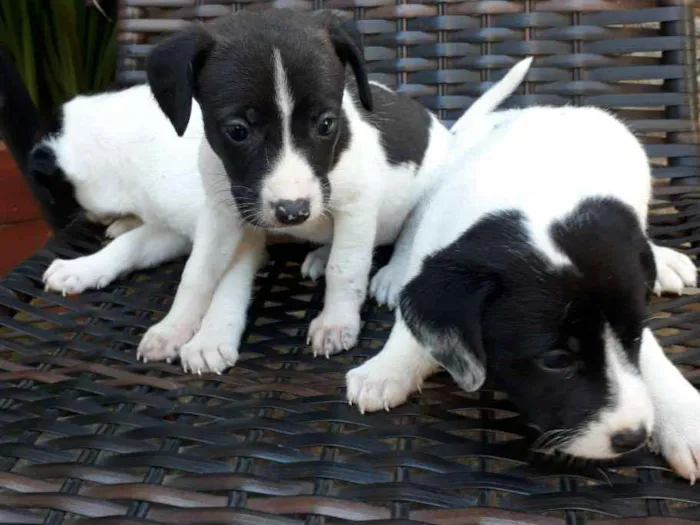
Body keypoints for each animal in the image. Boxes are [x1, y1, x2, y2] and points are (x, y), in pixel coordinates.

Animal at [137, 10, 532, 374]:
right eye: (237, 130)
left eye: (327, 124)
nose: (293, 212)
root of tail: (448, 134)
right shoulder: (222, 213)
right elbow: (197, 272)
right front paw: (172, 329)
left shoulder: (356, 209)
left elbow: (347, 269)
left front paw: (336, 323)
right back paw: (320, 254)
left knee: (409, 238)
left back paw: (392, 273)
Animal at [348, 100, 700, 482]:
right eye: (556, 360)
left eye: (634, 336)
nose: (633, 437)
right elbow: (410, 323)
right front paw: (387, 368)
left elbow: (651, 358)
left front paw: (684, 420)